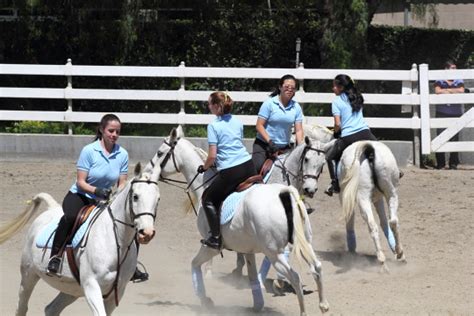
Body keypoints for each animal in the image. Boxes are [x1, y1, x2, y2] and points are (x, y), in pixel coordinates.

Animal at [0, 163, 161, 316]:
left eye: (158, 199)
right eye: (136, 196)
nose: (147, 233)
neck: (115, 243)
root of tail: (51, 208)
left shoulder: (117, 292)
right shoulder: (91, 286)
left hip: (72, 289)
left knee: (51, 309)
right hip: (29, 274)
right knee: (22, 307)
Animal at [153, 127, 330, 314]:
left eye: (160, 153)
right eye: (307, 159)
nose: (150, 172)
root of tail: (285, 193)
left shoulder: (211, 246)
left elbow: (194, 264)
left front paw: (205, 299)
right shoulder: (247, 249)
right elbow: (252, 275)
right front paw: (257, 303)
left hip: (274, 252)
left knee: (295, 277)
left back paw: (301, 307)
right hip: (304, 242)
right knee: (317, 266)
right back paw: (323, 304)